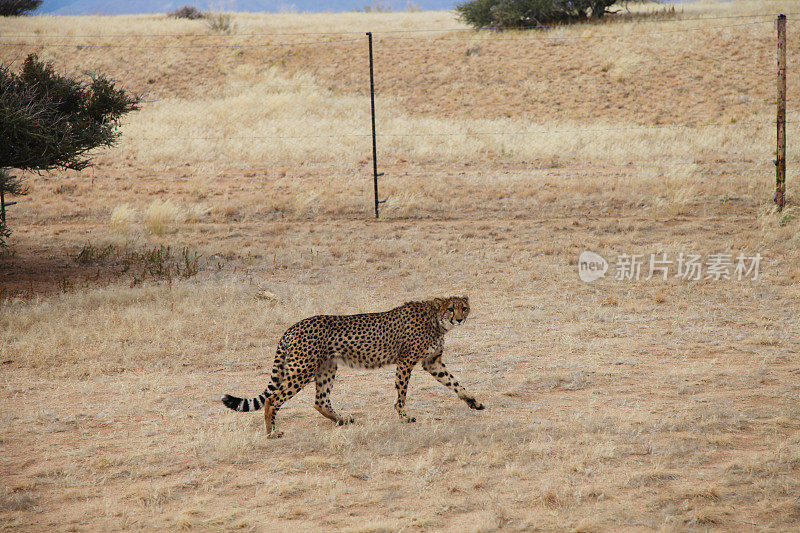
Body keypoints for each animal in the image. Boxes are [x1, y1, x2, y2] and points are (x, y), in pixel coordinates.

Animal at [220, 296, 482, 436]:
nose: (459, 319)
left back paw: (342, 420)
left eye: (464, 307)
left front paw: (473, 401)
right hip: (302, 369)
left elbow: (454, 382)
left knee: (320, 401)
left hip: (327, 367)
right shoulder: (406, 361)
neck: (435, 319)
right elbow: (402, 393)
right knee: (273, 400)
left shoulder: (432, 361)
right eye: (450, 308)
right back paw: (273, 432)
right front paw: (403, 416)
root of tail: (292, 327)